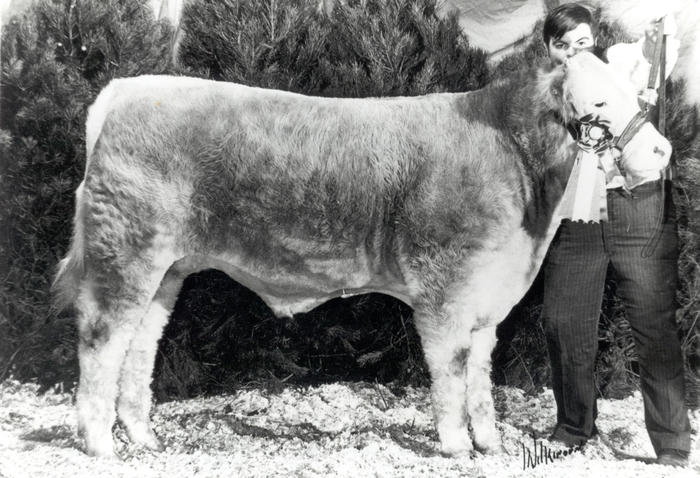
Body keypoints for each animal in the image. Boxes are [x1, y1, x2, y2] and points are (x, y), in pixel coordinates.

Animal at [53, 51, 671, 458]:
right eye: (598, 100)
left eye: (636, 94)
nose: (662, 150)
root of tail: (125, 91)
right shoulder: (446, 287)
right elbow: (450, 368)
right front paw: (455, 446)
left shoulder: (488, 298)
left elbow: (480, 372)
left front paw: (489, 442)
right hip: (125, 255)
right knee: (102, 342)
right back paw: (99, 445)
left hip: (164, 272)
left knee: (139, 348)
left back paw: (144, 438)